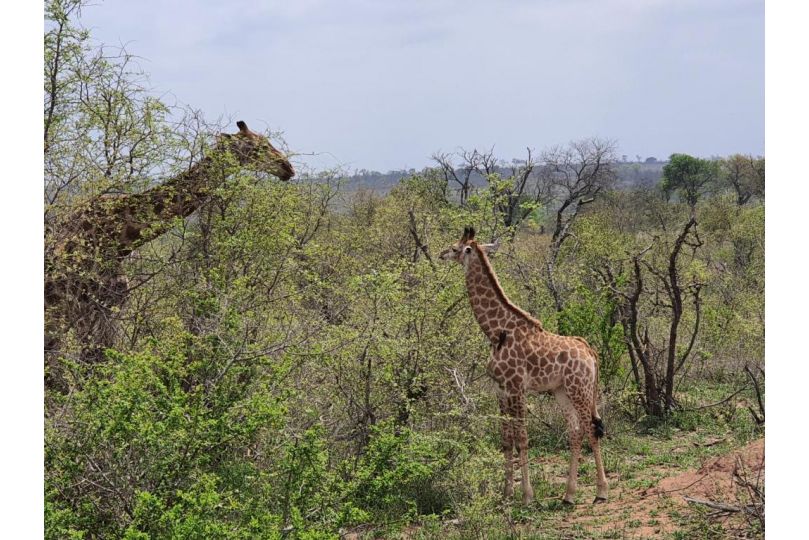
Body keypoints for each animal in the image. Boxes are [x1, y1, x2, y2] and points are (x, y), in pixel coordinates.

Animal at [442, 226, 608, 504]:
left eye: (456, 247)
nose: (442, 253)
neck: (496, 331)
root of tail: (590, 352)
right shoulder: (500, 389)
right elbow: (506, 439)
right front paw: (506, 494)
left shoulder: (518, 387)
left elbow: (522, 438)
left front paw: (527, 496)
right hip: (561, 391)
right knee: (575, 431)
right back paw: (568, 494)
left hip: (580, 389)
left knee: (591, 428)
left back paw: (601, 492)